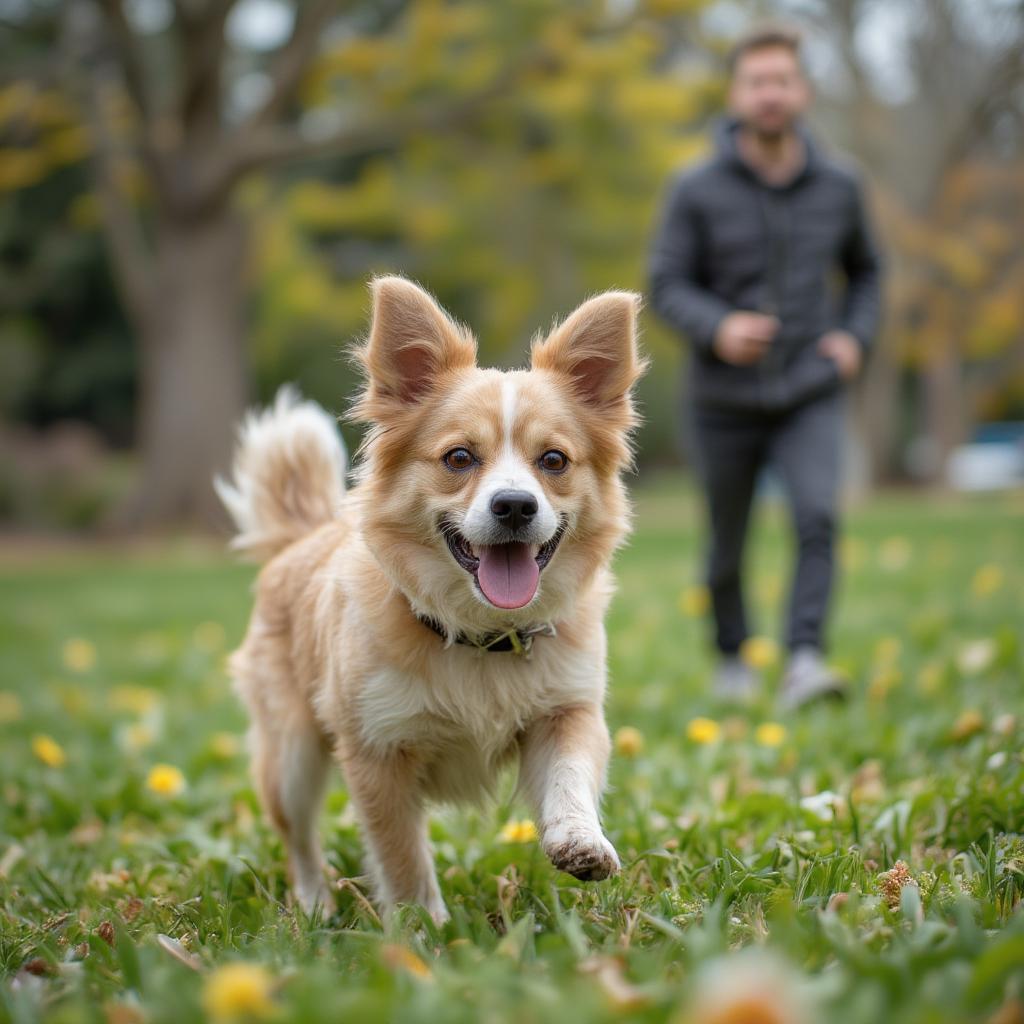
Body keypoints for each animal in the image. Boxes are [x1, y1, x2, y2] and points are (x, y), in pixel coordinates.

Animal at [219, 276, 643, 925]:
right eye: (459, 458)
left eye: (554, 461)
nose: (515, 505)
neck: (481, 634)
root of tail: (303, 537)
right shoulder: (376, 752)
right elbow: (401, 854)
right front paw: (424, 928)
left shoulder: (567, 711)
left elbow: (570, 771)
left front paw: (579, 838)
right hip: (290, 756)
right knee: (300, 837)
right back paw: (314, 903)